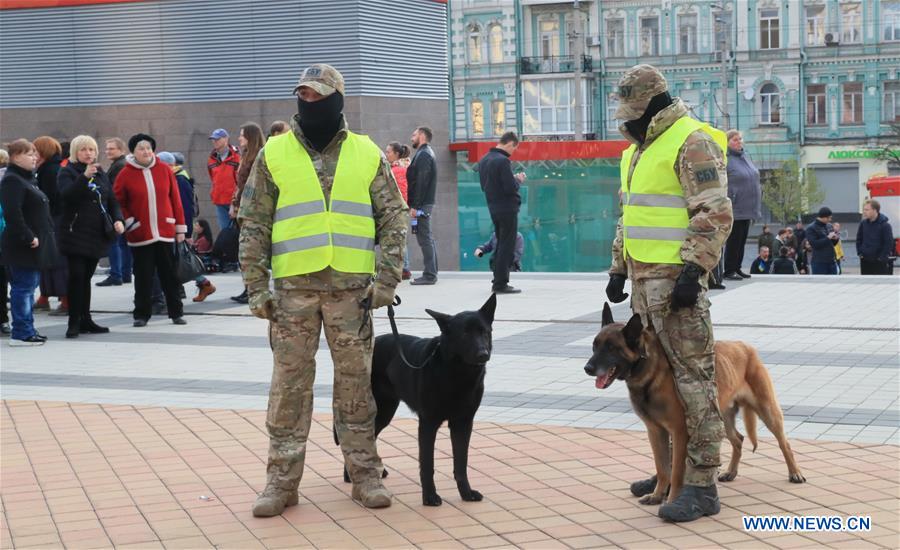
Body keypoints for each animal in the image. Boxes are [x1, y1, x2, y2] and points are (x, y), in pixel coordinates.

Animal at [342, 296, 500, 506]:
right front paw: (430, 497)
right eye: (465, 334)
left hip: (386, 411)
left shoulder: (463, 424)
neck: (457, 373)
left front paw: (466, 493)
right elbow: (427, 465)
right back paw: (350, 476)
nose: (483, 354)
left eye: (484, 332)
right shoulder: (428, 424)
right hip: (377, 411)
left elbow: (461, 463)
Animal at [588, 304, 804, 506]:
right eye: (594, 346)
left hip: (767, 411)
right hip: (720, 418)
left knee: (784, 443)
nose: (587, 368)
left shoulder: (679, 433)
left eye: (611, 348)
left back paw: (795, 473)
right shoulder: (655, 432)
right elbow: (662, 468)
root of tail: (744, 346)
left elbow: (675, 472)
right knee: (738, 439)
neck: (649, 371)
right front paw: (657, 495)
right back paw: (731, 471)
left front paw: (672, 500)